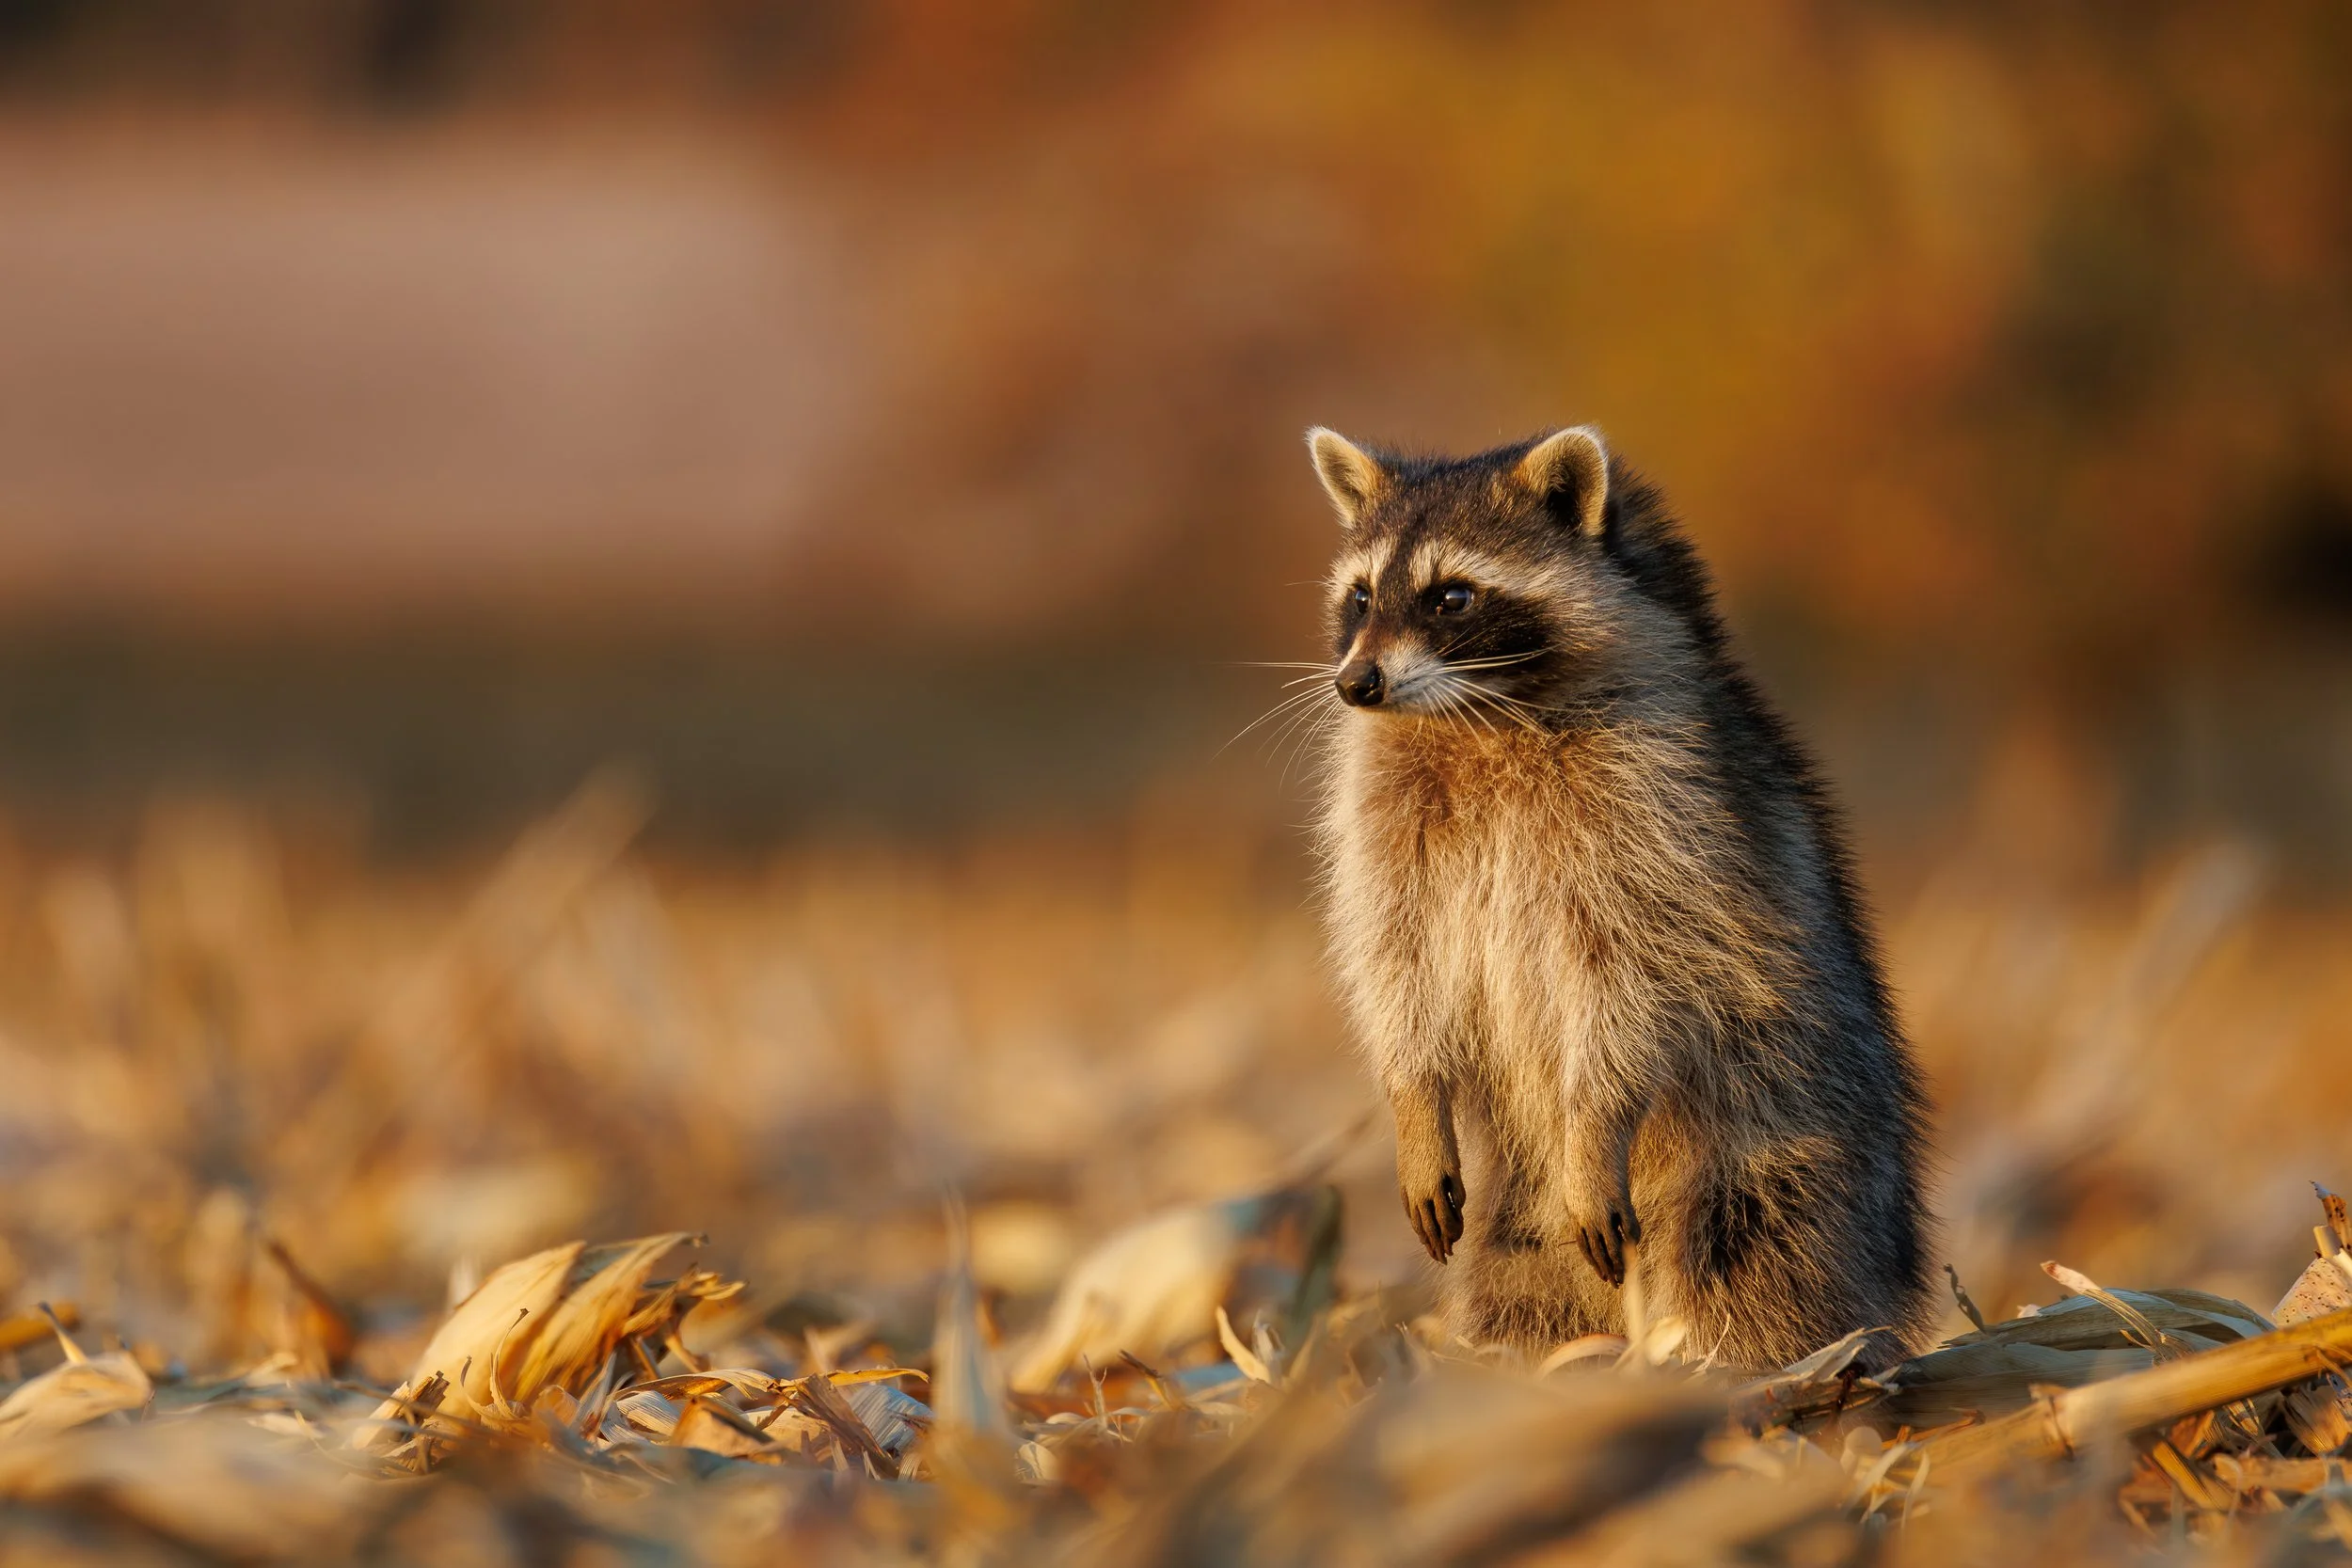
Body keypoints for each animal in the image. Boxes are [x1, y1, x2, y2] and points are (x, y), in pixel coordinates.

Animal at [1304, 424, 1934, 1371]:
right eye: (1362, 594)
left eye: (1453, 597)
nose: (1356, 684)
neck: (1478, 715)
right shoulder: (1384, 815)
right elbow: (1396, 960)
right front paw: (1414, 1102)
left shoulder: (1656, 810)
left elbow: (1628, 980)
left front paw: (1596, 1118)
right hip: (1527, 1205)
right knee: (1521, 1285)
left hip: (1787, 1139)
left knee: (1753, 1259)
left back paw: (1762, 1373)